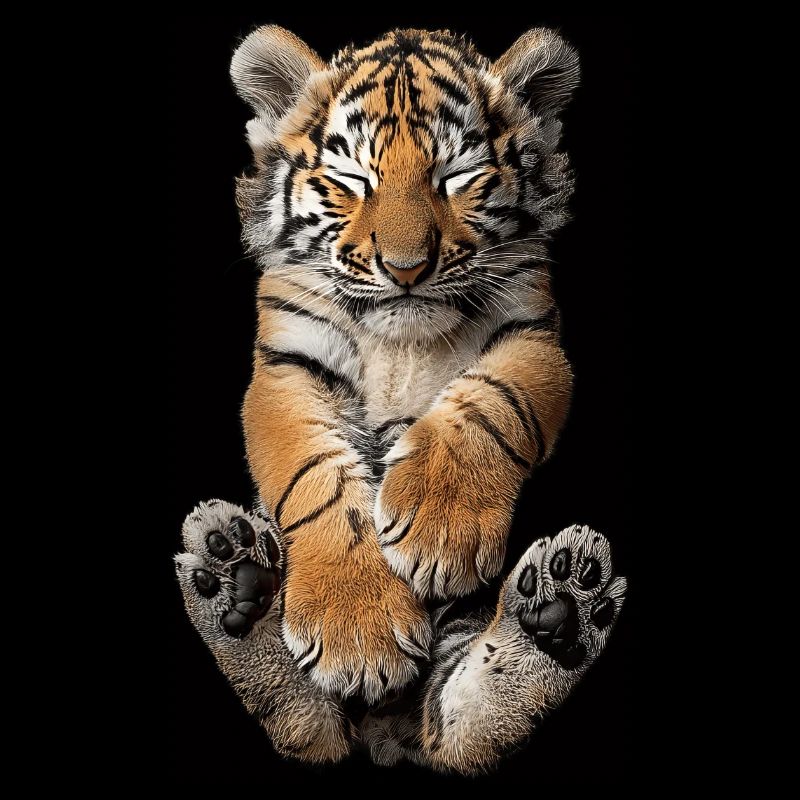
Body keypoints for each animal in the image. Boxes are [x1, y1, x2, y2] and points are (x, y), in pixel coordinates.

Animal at [175, 25, 627, 774]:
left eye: (457, 178)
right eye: (354, 181)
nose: (405, 268)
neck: (401, 338)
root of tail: (386, 736)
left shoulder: (534, 335)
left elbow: (489, 405)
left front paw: (441, 532)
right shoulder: (286, 365)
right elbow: (314, 473)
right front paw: (356, 631)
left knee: (464, 727)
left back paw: (564, 606)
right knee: (310, 725)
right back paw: (233, 580)